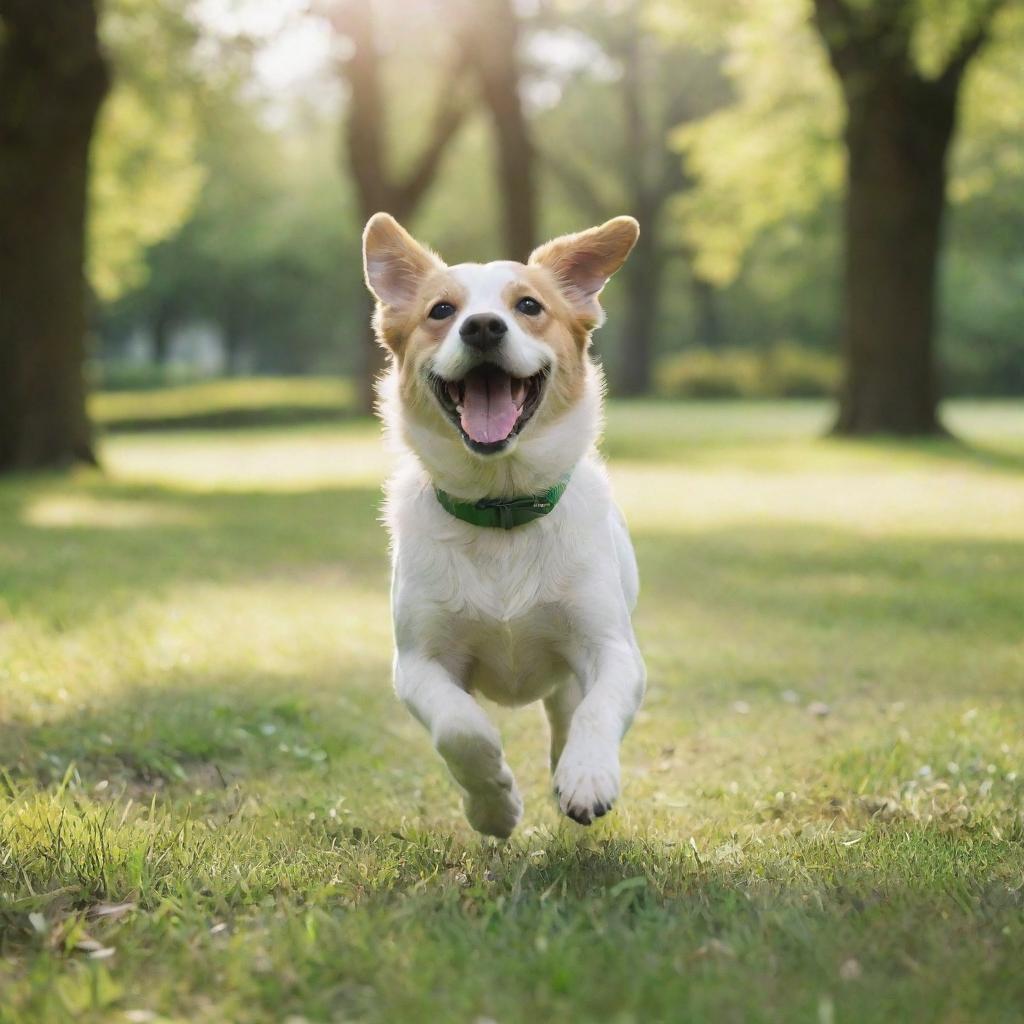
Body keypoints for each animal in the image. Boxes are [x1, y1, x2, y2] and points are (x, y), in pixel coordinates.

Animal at [364, 211, 643, 835]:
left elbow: (597, 709)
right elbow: (462, 729)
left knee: (567, 711)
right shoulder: (417, 664)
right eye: (441, 311)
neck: (502, 509)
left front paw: (587, 775)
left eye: (529, 306)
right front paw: (494, 799)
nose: (483, 327)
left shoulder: (613, 649)